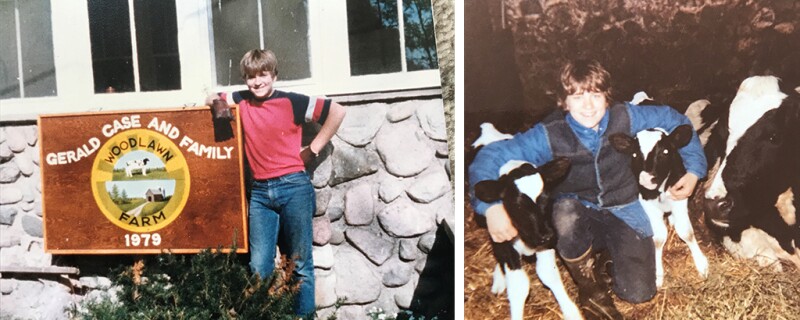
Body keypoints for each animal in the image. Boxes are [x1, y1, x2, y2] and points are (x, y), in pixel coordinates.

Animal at [476, 124, 580, 320]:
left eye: (547, 198)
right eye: (517, 206)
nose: (545, 235)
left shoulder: (547, 240)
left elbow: (548, 274)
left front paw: (571, 311)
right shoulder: (508, 242)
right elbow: (519, 286)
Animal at [608, 125, 708, 288]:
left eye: (665, 152)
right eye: (634, 154)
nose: (646, 178)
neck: (660, 190)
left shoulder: (680, 197)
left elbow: (686, 232)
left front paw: (701, 264)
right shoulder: (647, 205)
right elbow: (659, 238)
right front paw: (658, 274)